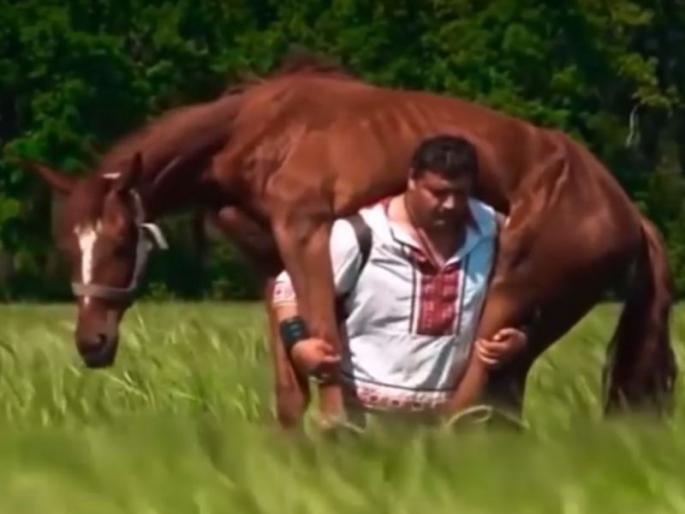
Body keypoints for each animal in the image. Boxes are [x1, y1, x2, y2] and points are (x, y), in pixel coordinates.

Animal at [24, 54, 676, 427]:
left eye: (119, 243)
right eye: (68, 248)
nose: (92, 343)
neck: (257, 130)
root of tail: (626, 210)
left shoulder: (307, 235)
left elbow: (330, 366)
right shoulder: (271, 262)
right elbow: (292, 383)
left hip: (511, 291)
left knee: (474, 393)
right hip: (535, 321)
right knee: (500, 400)